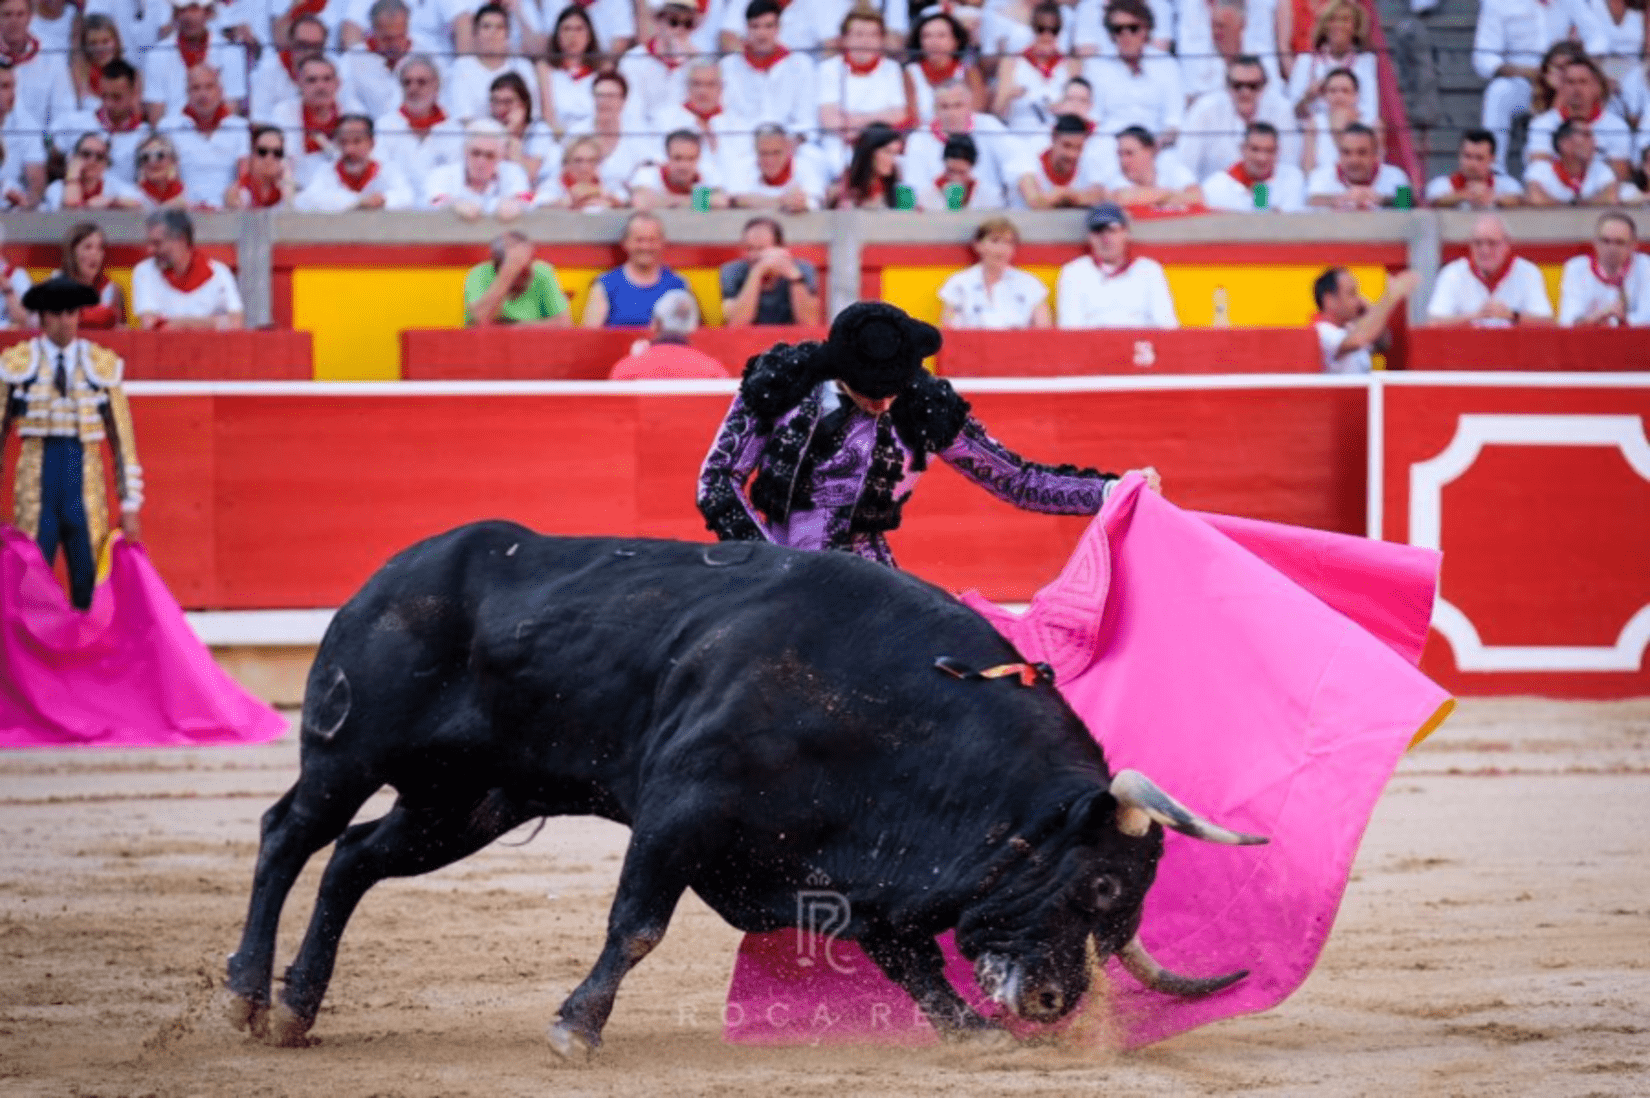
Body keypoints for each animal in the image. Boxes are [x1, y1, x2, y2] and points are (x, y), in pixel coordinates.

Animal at [222, 521, 1260, 1056]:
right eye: (1098, 883)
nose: (1052, 1003)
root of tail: (391, 571)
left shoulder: (854, 878)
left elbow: (913, 962)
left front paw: (973, 1034)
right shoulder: (679, 812)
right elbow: (637, 926)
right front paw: (575, 1029)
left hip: (463, 805)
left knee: (354, 860)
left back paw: (297, 1007)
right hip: (349, 753)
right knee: (289, 834)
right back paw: (243, 994)